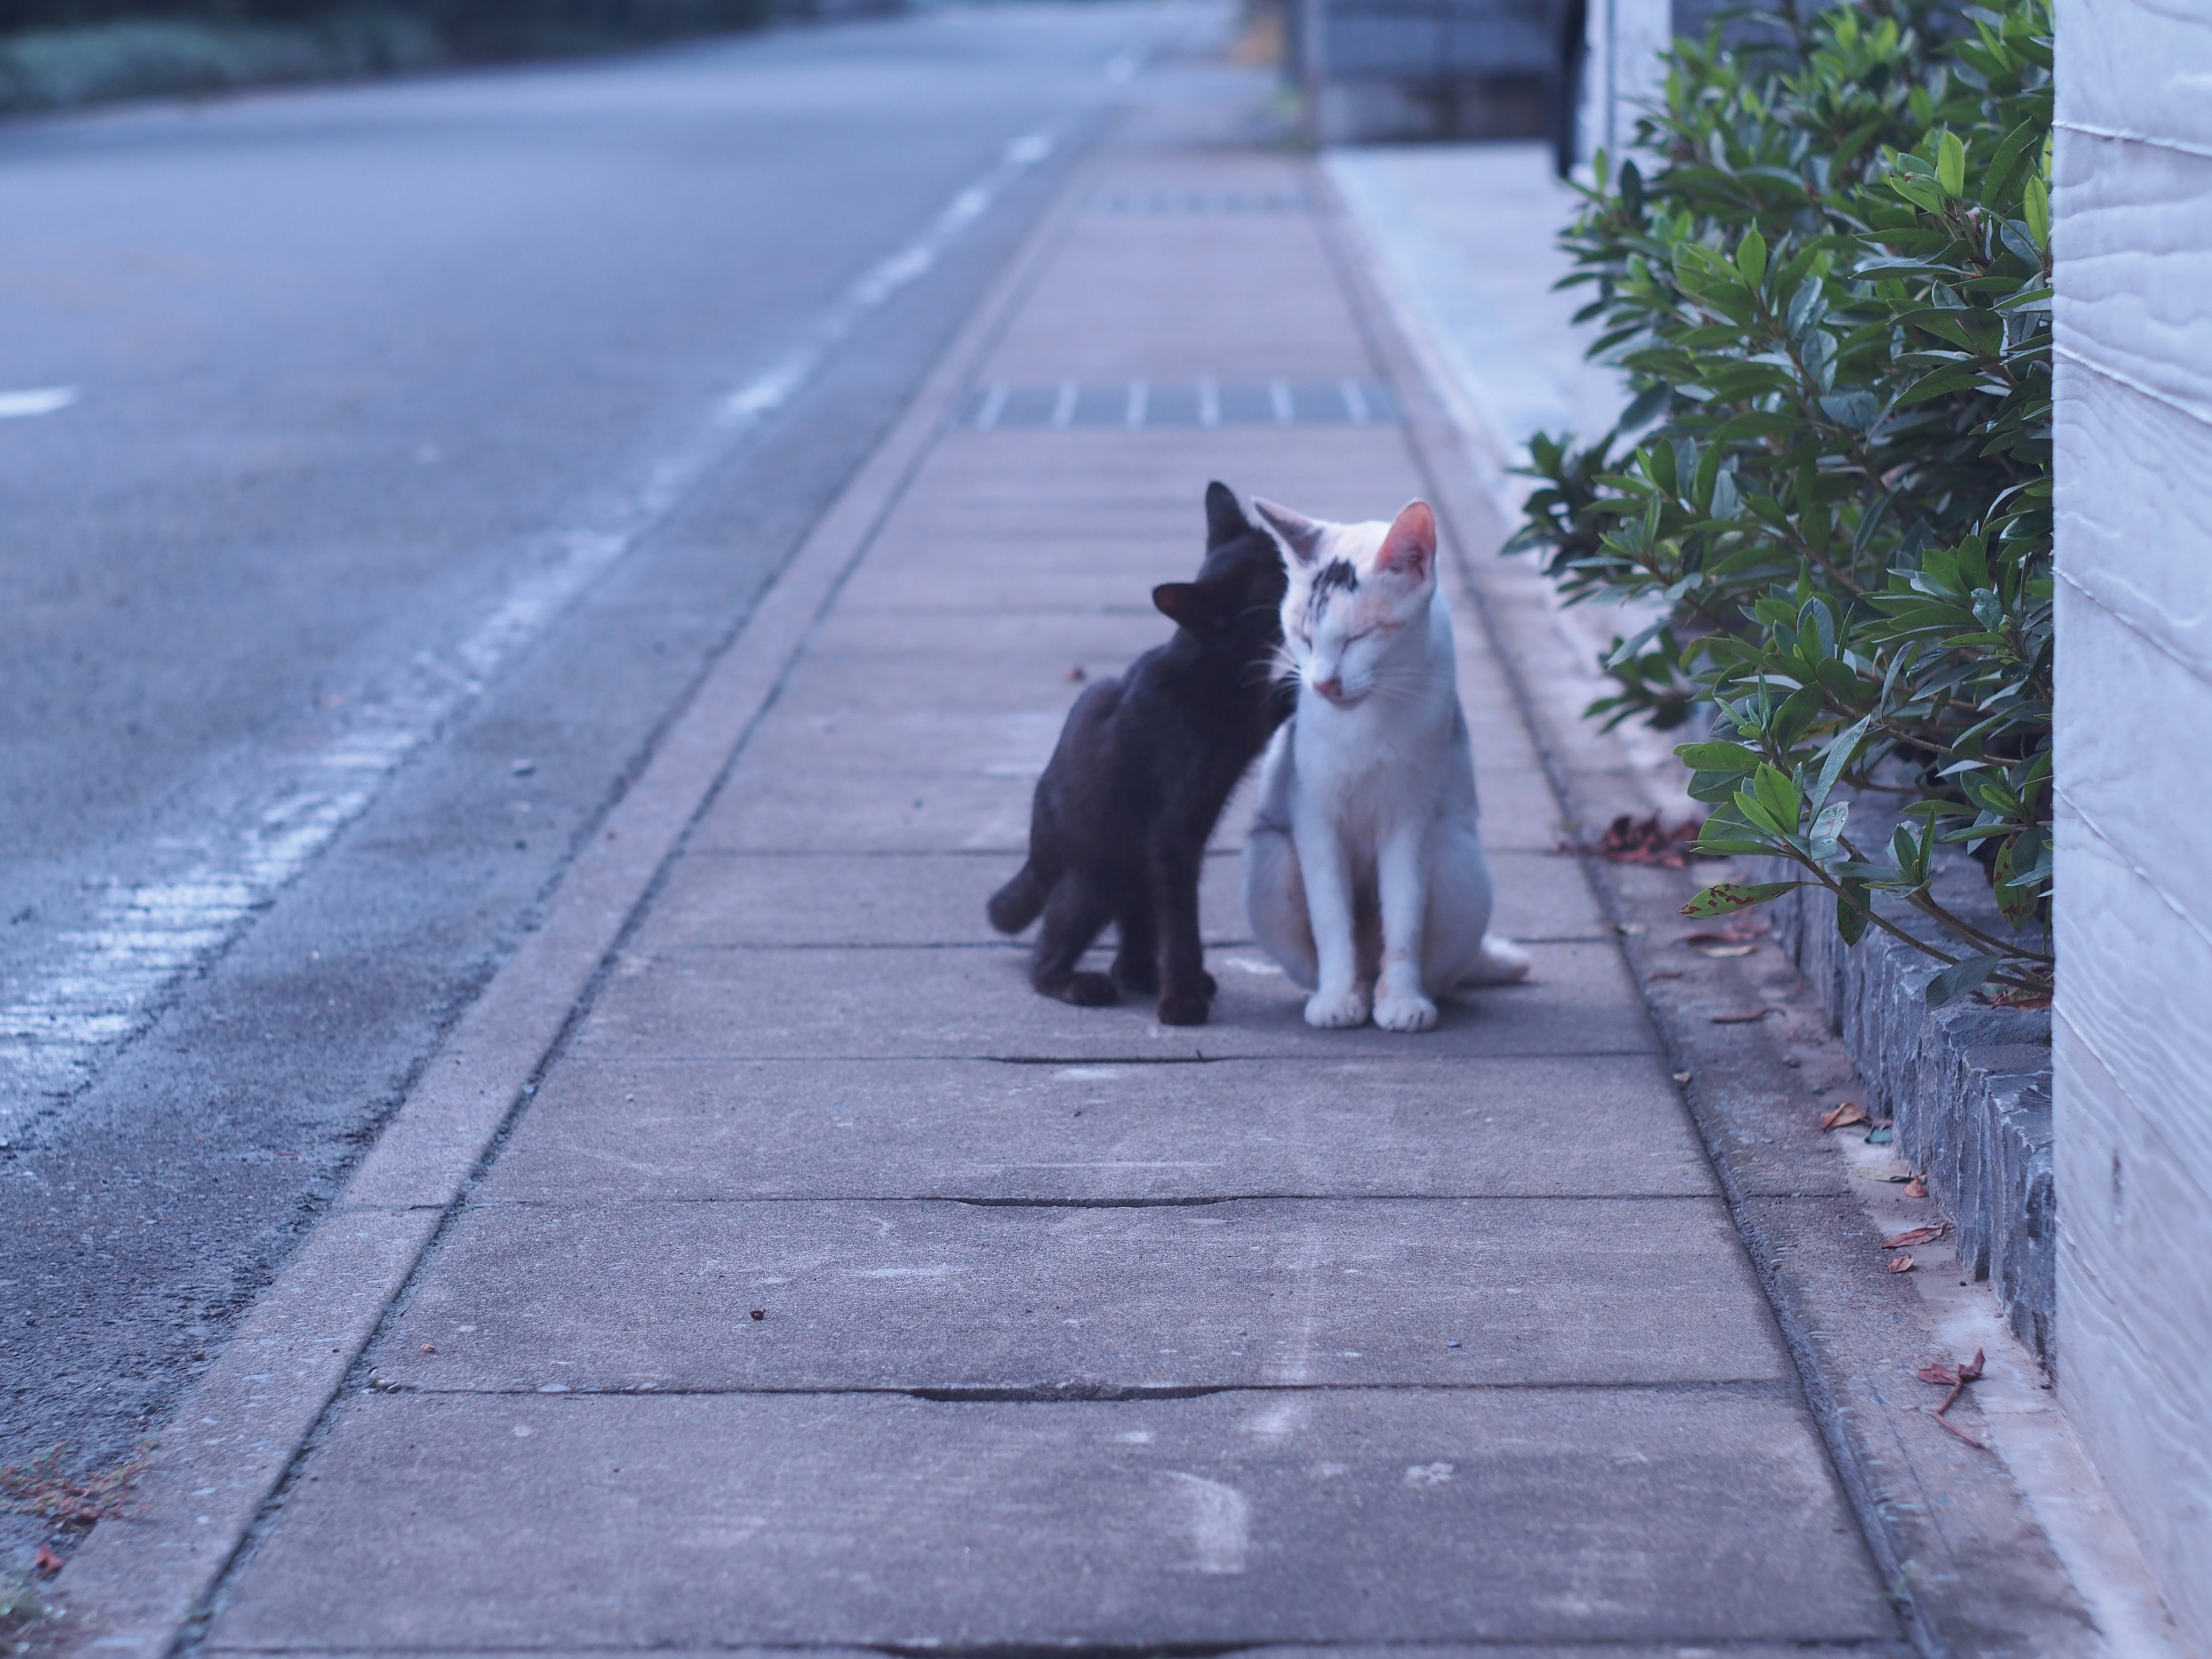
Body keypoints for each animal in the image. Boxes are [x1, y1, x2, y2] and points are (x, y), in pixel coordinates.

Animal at [991, 480, 1291, 1026]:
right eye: (1277, 578)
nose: (1303, 565)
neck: (1217, 673)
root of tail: (1037, 856)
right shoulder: (1172, 839)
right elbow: (1182, 924)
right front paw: (1182, 1002)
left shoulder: (1258, 718)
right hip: (1096, 877)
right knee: (1045, 956)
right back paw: (1082, 984)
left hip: (1136, 874)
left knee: (1130, 953)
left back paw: (1147, 978)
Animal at [1238, 499, 1531, 1035]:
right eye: (1304, 638)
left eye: (1360, 637)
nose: (1323, 685)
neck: (1365, 721)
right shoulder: (1314, 817)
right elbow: (1331, 918)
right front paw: (1336, 996)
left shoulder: (1411, 818)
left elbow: (1404, 915)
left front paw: (1402, 999)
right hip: (1271, 858)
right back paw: (1349, 989)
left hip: (1457, 857)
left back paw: (1397, 990)